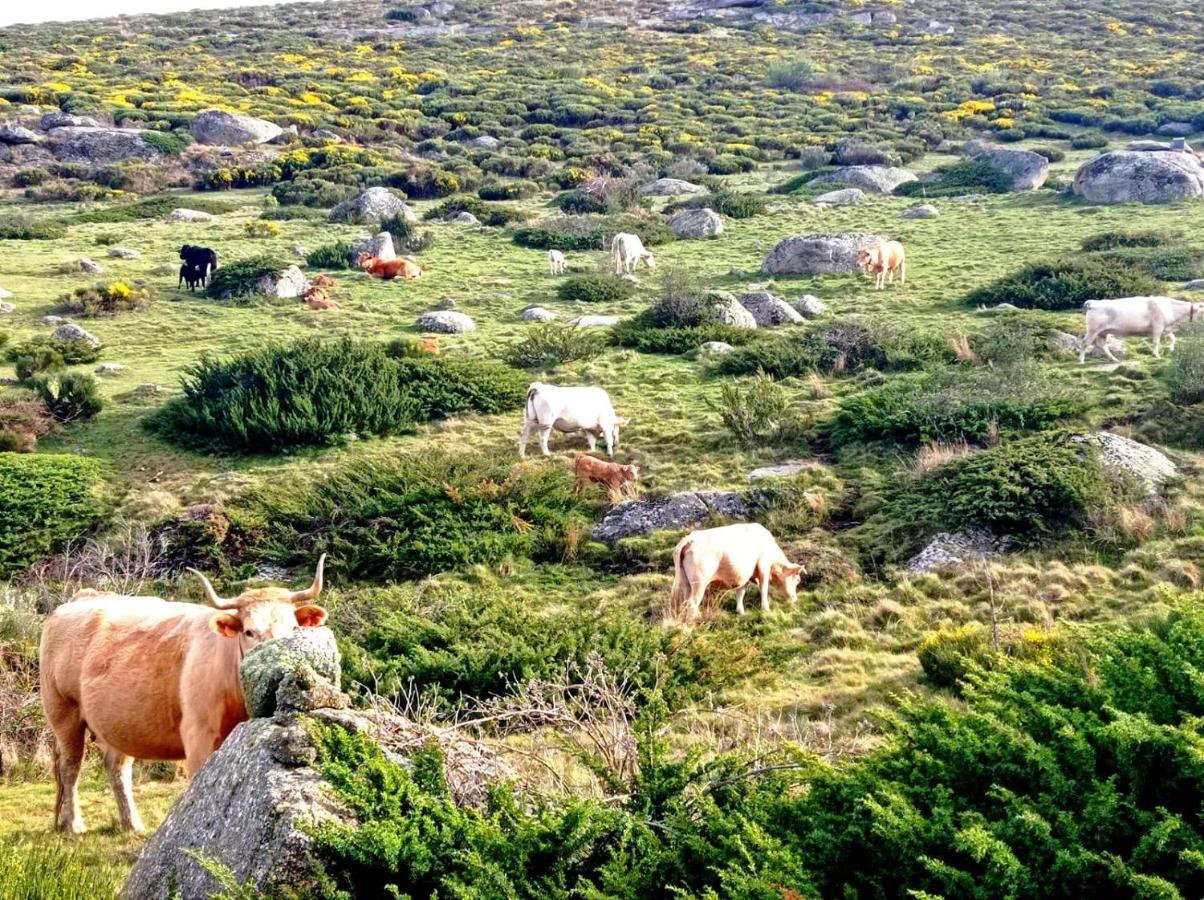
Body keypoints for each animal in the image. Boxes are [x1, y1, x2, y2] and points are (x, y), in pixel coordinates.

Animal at [674, 524, 804, 620]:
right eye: (797, 580)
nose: (795, 599)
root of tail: (689, 539)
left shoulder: (744, 575)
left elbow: (740, 592)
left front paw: (741, 612)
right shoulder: (763, 568)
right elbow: (763, 589)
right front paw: (766, 609)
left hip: (686, 582)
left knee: (686, 600)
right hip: (699, 582)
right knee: (692, 603)